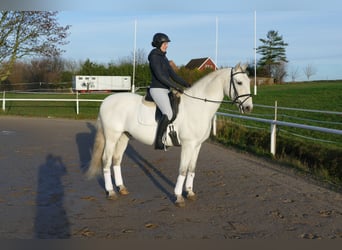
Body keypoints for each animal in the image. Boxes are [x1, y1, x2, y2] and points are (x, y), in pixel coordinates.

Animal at [87, 62, 252, 207]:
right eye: (239, 82)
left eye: (249, 81)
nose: (248, 108)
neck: (198, 106)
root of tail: (106, 101)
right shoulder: (188, 145)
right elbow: (183, 169)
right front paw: (179, 197)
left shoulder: (197, 145)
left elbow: (192, 168)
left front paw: (189, 192)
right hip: (111, 137)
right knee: (106, 160)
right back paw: (110, 192)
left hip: (123, 137)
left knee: (116, 160)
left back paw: (121, 188)